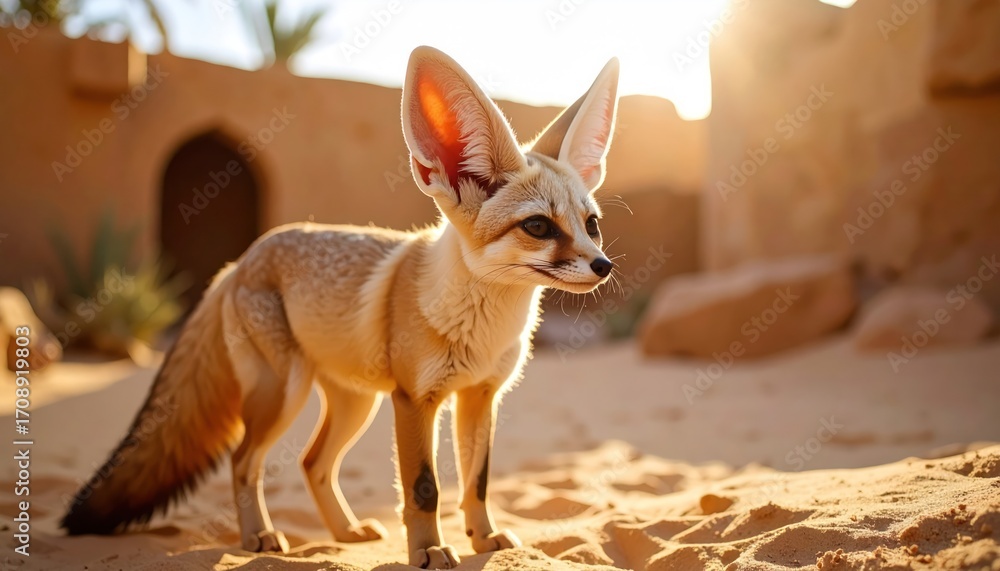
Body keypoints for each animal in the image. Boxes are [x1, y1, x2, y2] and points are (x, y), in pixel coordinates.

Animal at [61, 46, 620, 569]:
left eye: (591, 225)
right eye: (538, 227)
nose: (604, 266)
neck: (482, 329)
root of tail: (241, 259)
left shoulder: (481, 397)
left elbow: (476, 483)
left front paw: (484, 541)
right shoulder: (414, 400)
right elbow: (424, 489)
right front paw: (428, 551)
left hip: (355, 403)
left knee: (312, 463)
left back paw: (345, 532)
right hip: (285, 393)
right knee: (244, 460)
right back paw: (259, 536)